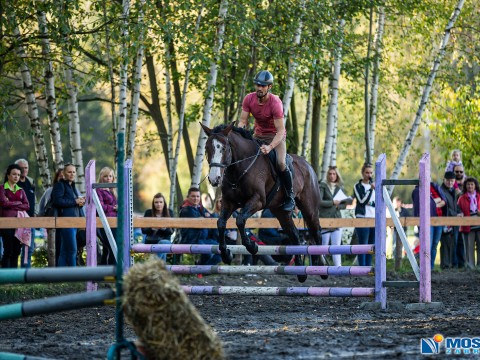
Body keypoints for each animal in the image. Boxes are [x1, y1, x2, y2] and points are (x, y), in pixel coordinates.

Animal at [199, 122, 326, 282]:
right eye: (207, 148)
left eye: (224, 148)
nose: (214, 179)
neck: (239, 168)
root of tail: (308, 166)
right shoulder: (229, 203)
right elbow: (221, 223)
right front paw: (226, 254)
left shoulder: (257, 200)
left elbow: (240, 220)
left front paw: (252, 247)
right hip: (280, 211)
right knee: (295, 235)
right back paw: (300, 272)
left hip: (309, 209)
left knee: (317, 232)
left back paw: (321, 267)